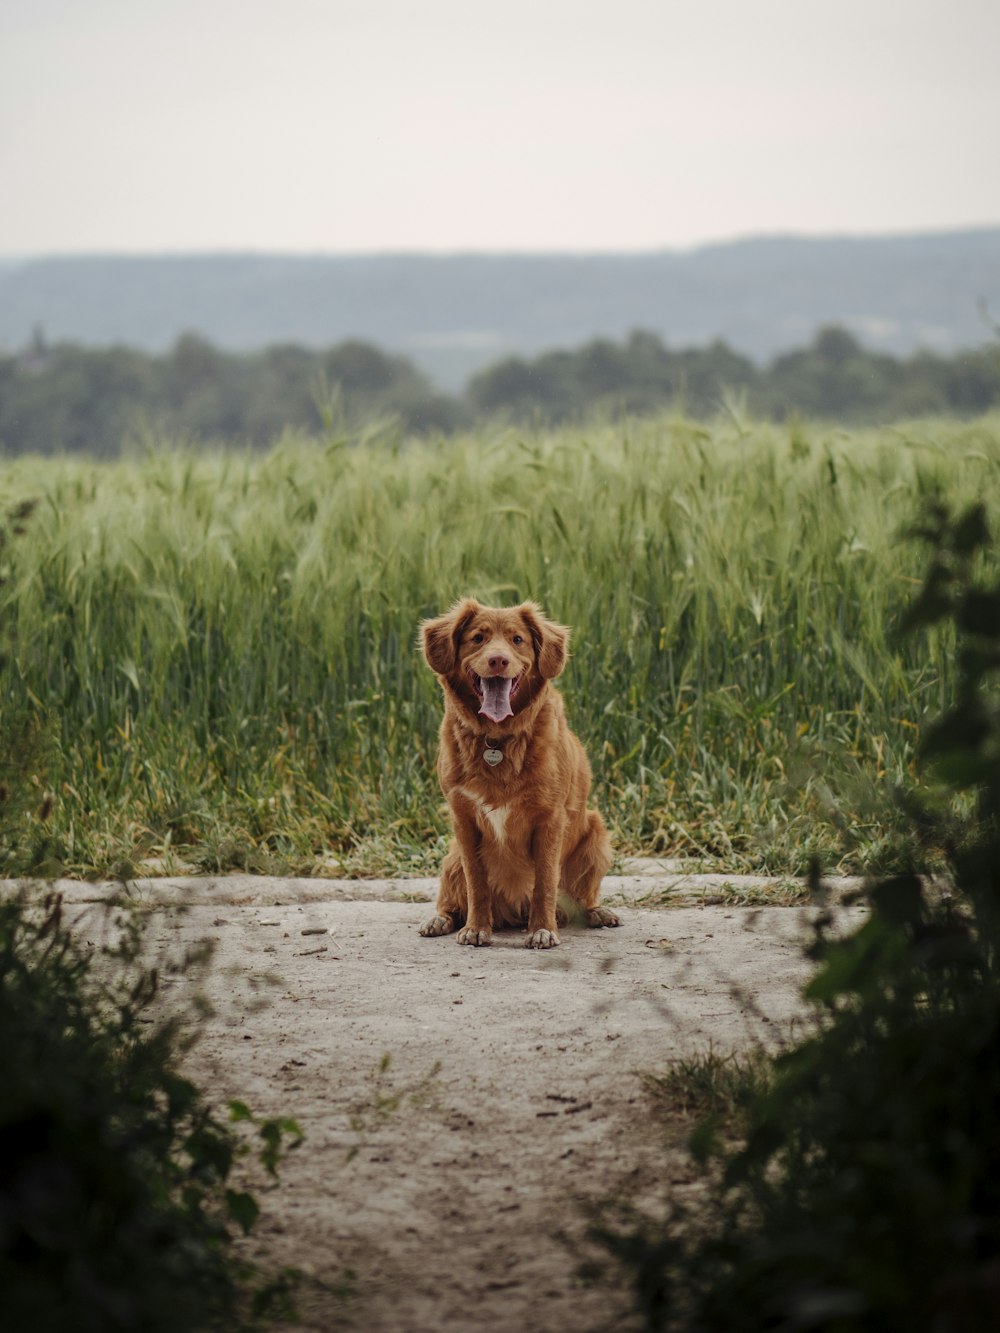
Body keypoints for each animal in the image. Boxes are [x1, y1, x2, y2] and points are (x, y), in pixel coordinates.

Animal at [416, 594, 618, 949]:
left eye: (517, 640)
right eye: (478, 638)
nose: (498, 660)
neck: (497, 738)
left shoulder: (550, 818)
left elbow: (544, 882)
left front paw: (543, 929)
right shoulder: (463, 820)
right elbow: (477, 883)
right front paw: (476, 927)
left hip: (596, 835)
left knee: (583, 896)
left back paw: (596, 913)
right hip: (452, 857)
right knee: (451, 899)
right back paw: (440, 919)